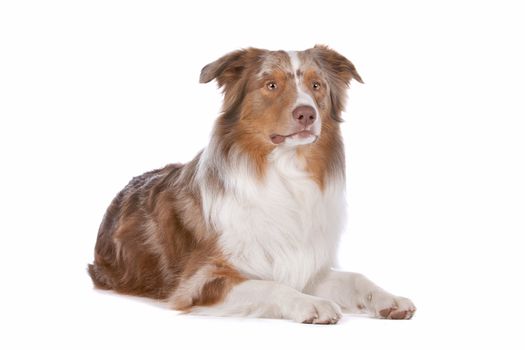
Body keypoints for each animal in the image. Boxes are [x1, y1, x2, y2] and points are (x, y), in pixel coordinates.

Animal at [88, 45, 416, 324]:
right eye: (270, 85)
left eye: (316, 85)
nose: (307, 114)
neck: (285, 173)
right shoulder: (202, 280)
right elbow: (270, 285)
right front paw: (311, 304)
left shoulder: (304, 266)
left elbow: (356, 277)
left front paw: (389, 299)